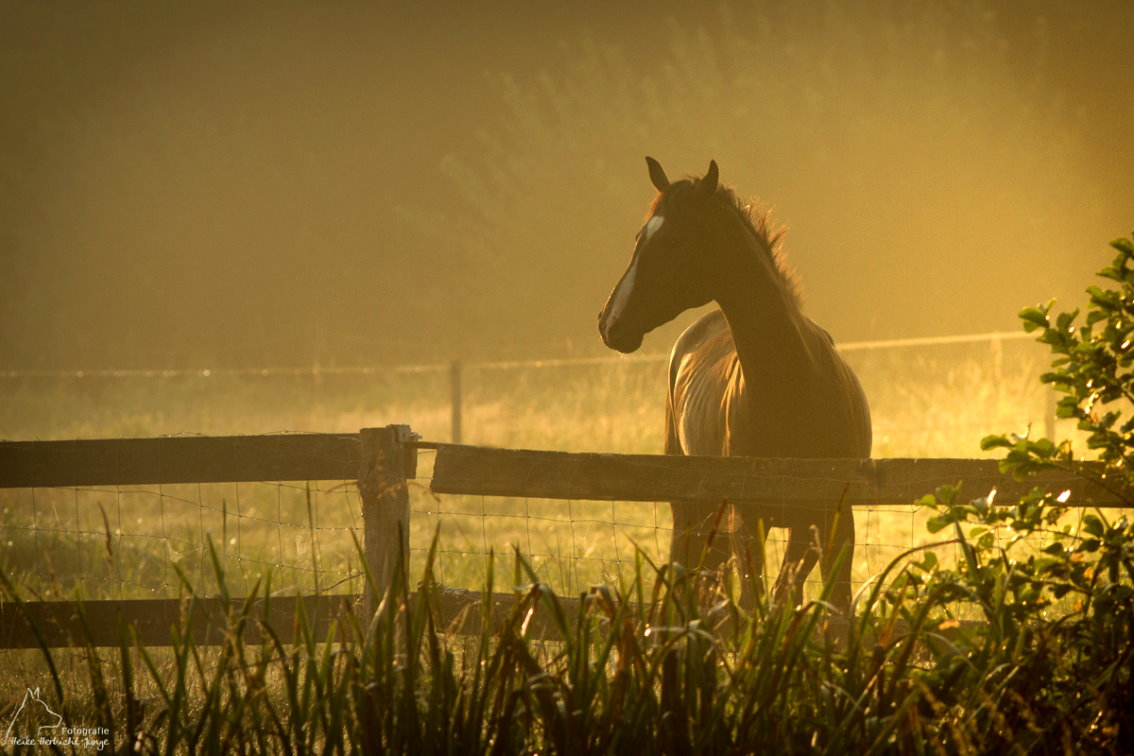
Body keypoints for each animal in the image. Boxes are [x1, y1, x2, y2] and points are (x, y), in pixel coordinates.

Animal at [598, 156, 870, 612]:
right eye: (640, 237)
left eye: (673, 241)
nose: (608, 322)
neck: (794, 385)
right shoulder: (748, 519)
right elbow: (755, 600)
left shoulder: (833, 521)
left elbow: (821, 601)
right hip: (693, 512)